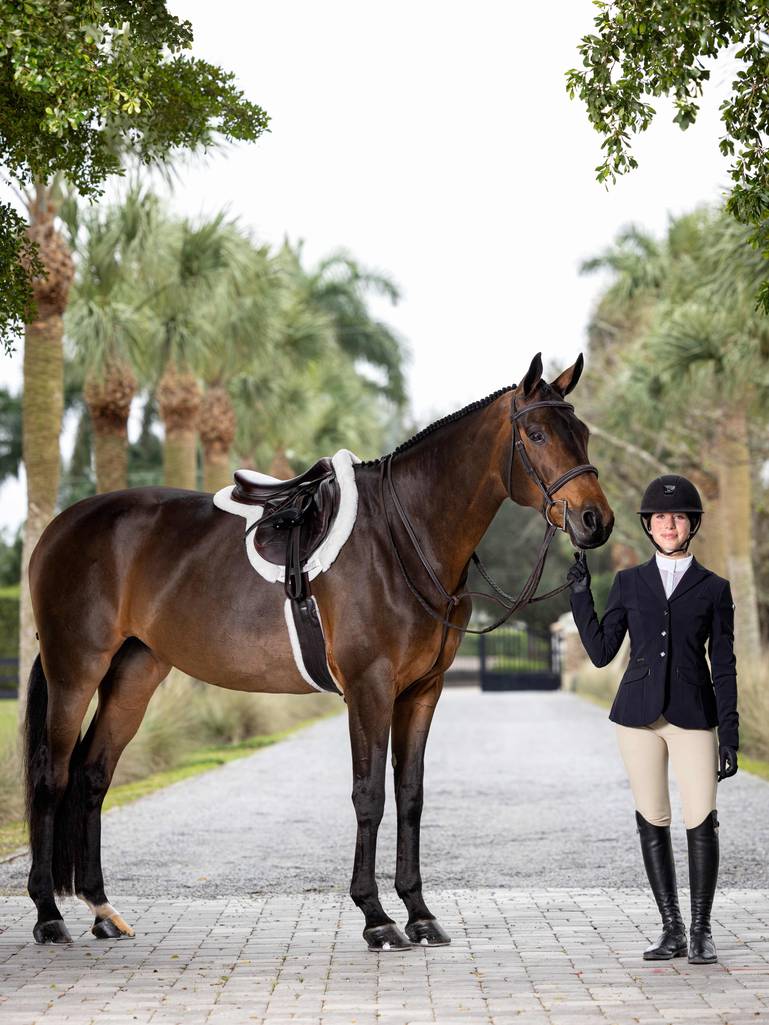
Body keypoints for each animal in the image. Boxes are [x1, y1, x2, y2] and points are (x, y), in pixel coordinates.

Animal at [22, 356, 615, 947]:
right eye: (536, 435)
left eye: (583, 433)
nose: (596, 521)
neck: (401, 537)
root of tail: (59, 528)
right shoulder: (369, 687)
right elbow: (369, 795)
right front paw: (376, 918)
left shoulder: (423, 691)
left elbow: (410, 795)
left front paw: (420, 914)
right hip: (75, 670)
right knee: (52, 776)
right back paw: (49, 916)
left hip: (136, 672)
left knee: (93, 775)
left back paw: (102, 910)